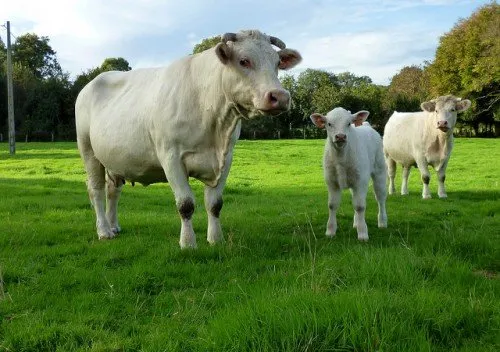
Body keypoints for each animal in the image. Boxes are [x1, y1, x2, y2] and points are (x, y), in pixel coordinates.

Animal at [74, 31, 300, 250]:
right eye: (244, 61)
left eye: (277, 63)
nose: (280, 96)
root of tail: (93, 82)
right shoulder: (171, 157)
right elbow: (185, 204)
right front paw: (188, 243)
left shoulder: (226, 158)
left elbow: (215, 204)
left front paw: (216, 239)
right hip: (88, 150)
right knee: (96, 189)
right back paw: (104, 231)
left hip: (114, 159)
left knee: (113, 190)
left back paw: (114, 226)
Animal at [310, 106, 388, 242]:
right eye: (329, 124)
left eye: (348, 123)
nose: (340, 136)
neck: (341, 158)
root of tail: (367, 126)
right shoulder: (331, 182)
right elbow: (332, 205)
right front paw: (330, 231)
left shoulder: (361, 181)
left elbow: (360, 206)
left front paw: (362, 233)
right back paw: (356, 223)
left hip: (380, 171)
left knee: (380, 198)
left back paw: (382, 222)